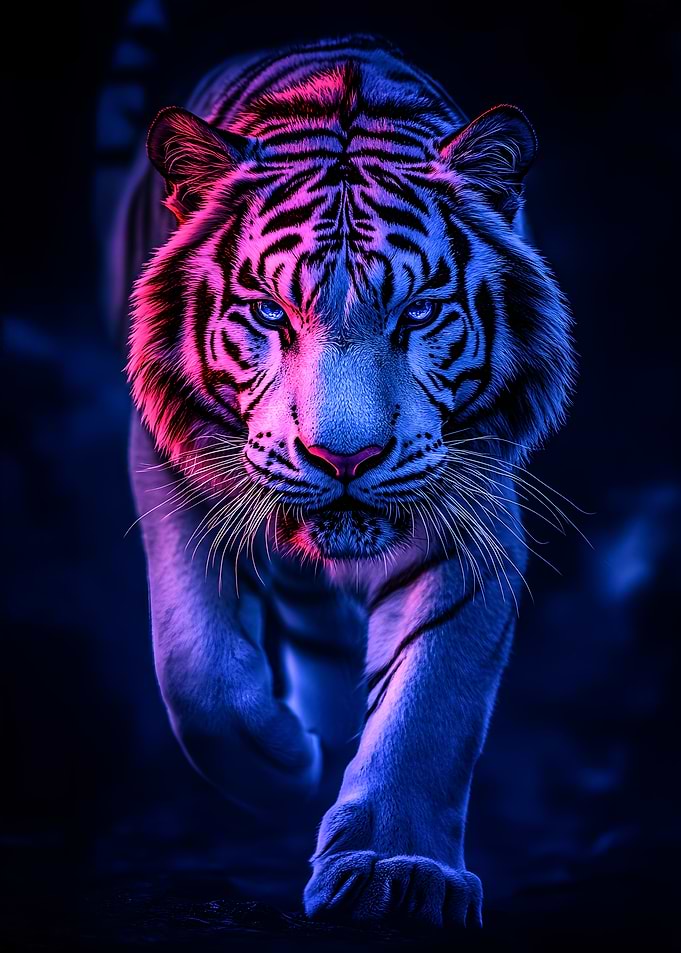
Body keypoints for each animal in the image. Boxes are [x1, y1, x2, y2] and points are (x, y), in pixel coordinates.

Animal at [122, 33, 575, 928]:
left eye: (417, 314)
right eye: (270, 313)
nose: (344, 459)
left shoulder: (469, 513)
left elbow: (429, 704)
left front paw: (396, 870)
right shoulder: (165, 459)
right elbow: (199, 672)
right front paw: (282, 765)